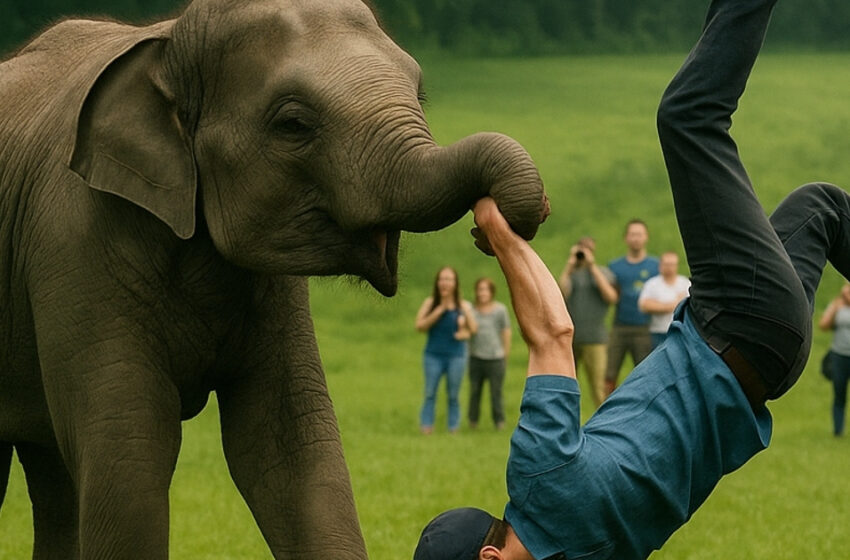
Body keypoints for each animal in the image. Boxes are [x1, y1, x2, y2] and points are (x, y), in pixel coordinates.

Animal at [0, 0, 547, 558]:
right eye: (293, 124)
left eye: (419, 95)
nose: (489, 226)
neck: (167, 44)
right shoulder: (77, 241)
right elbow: (129, 456)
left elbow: (291, 448)